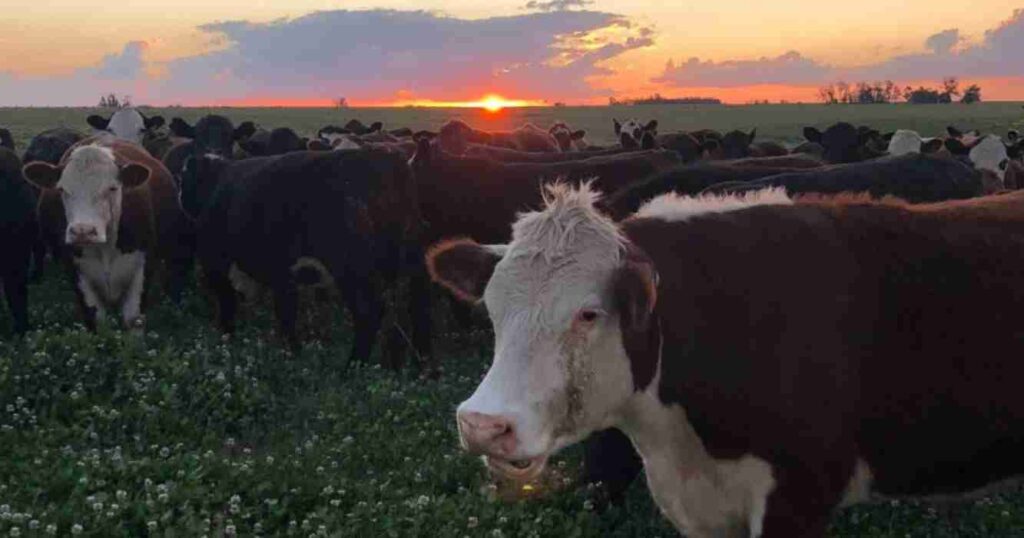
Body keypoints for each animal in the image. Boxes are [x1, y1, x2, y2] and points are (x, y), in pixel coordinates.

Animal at [23, 136, 192, 329]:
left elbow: (133, 319)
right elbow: (96, 320)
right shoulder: (77, 273)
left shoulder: (143, 268)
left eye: (112, 188)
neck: (106, 249)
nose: (83, 231)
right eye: (62, 189)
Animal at [176, 147, 432, 368]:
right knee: (419, 308)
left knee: (368, 312)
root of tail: (383, 156)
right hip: (413, 263)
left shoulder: (218, 262)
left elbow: (233, 302)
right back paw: (419, 365)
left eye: (183, 176)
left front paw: (230, 334)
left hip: (352, 269)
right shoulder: (279, 274)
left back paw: (352, 366)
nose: (179, 195)